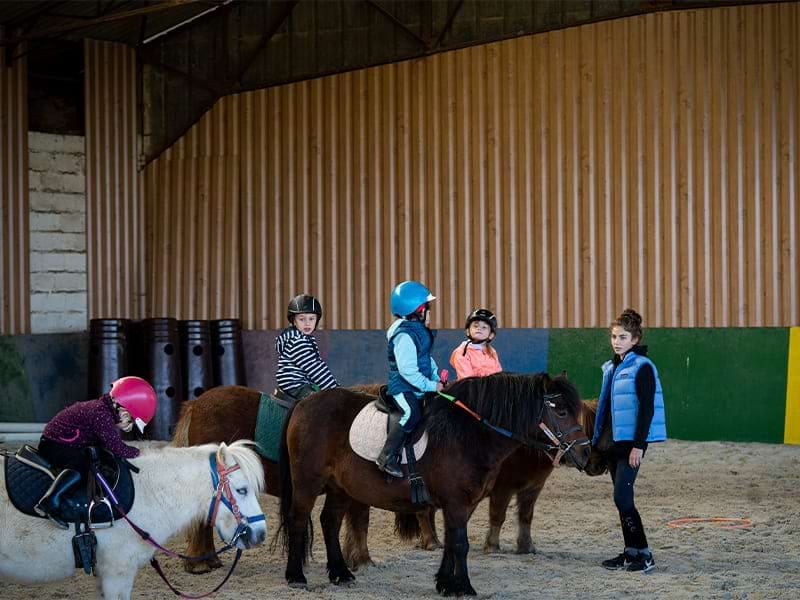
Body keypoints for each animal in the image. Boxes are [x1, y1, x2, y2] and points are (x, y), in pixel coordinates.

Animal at [278, 370, 592, 596]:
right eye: (561, 411)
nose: (585, 454)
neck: (468, 433)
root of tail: (304, 403)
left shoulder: (464, 504)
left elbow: (452, 542)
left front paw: (445, 583)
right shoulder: (456, 501)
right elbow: (461, 544)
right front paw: (463, 587)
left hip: (340, 488)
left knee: (329, 522)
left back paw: (341, 573)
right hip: (307, 482)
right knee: (298, 520)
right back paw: (296, 576)